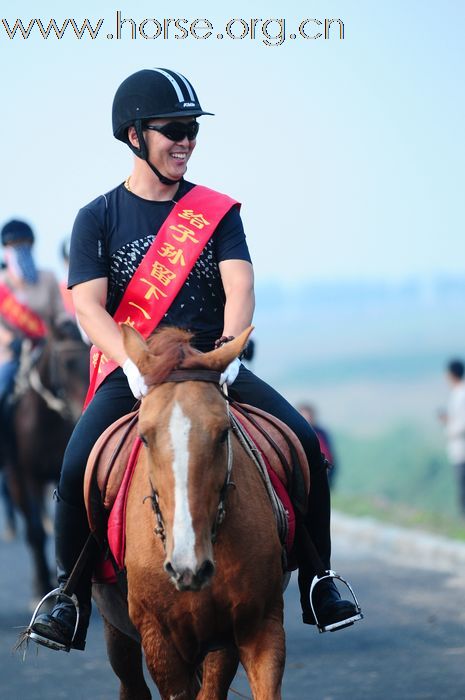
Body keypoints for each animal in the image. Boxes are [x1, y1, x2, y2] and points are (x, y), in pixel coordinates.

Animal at [94, 326, 284, 700]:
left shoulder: (257, 625)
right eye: (145, 437)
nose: (187, 566)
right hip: (118, 631)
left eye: (223, 433)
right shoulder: (159, 640)